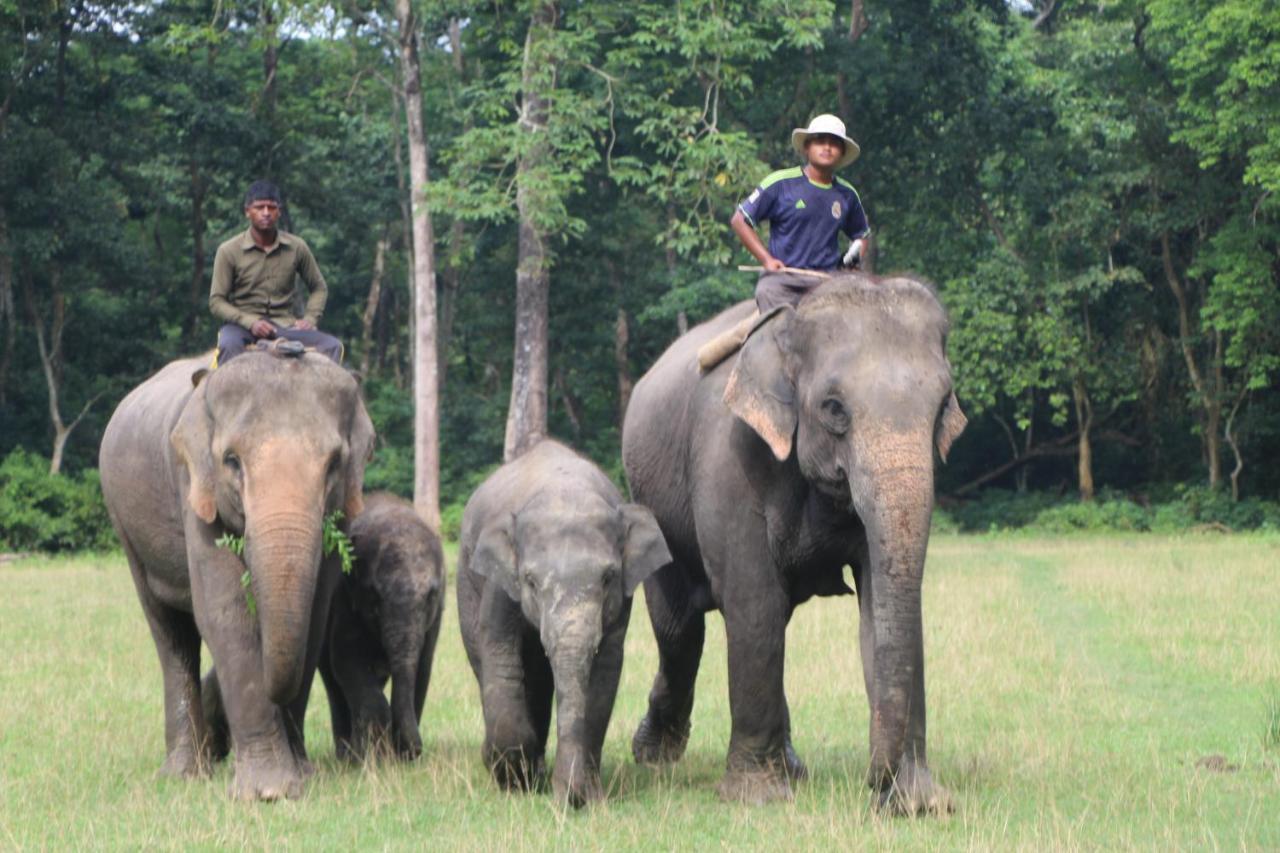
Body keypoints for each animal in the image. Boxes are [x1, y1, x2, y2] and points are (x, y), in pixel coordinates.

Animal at [100, 348, 373, 799]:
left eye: (335, 463)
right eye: (231, 461)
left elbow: (314, 617)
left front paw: (302, 776)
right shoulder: (193, 486)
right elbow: (225, 613)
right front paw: (268, 793)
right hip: (125, 529)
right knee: (170, 633)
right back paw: (183, 773)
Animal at [316, 489, 445, 758]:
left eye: (430, 596)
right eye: (374, 595)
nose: (416, 750)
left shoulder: (436, 617)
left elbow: (423, 667)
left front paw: (399, 757)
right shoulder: (343, 597)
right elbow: (346, 660)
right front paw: (375, 757)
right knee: (333, 683)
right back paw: (348, 755)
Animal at [460, 438, 680, 804]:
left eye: (608, 577)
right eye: (530, 581)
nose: (572, 798)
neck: (564, 492)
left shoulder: (621, 602)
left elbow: (605, 673)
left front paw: (584, 795)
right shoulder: (500, 585)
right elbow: (499, 653)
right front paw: (513, 778)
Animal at [622, 272, 967, 809]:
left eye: (941, 407)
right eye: (834, 408)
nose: (874, 780)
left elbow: (877, 608)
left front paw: (920, 804)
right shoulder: (727, 455)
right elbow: (753, 601)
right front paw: (757, 798)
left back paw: (791, 766)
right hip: (652, 501)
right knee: (680, 629)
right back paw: (655, 755)